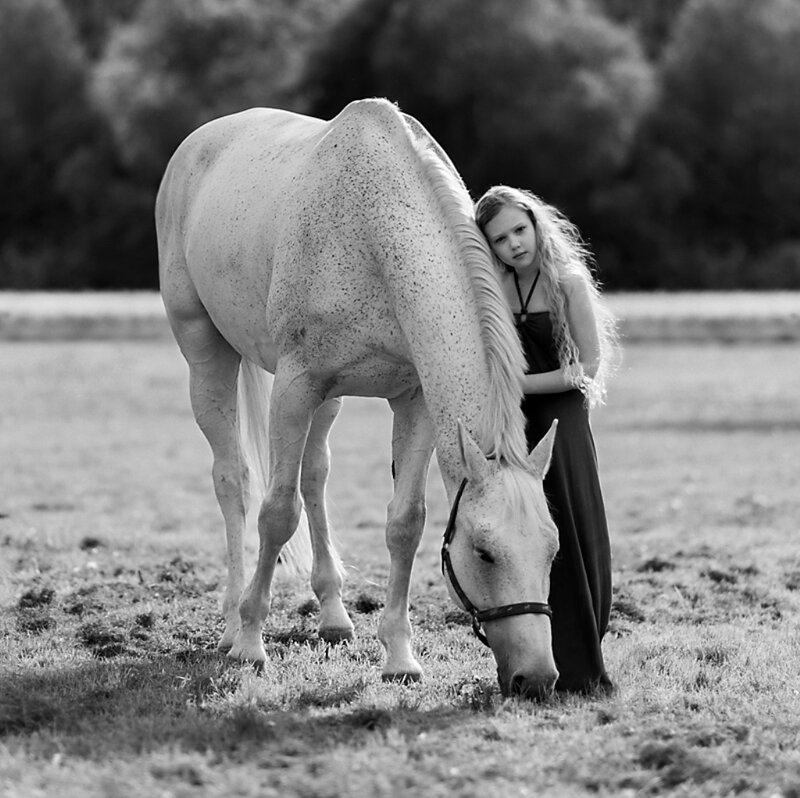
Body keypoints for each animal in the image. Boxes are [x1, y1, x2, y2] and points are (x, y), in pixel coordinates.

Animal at [156, 98, 560, 699]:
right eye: (484, 552)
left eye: (554, 549)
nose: (537, 679)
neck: (372, 234)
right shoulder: (295, 386)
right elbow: (277, 514)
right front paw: (252, 645)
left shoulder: (413, 402)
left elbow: (405, 523)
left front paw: (399, 657)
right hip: (208, 354)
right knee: (235, 481)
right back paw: (231, 626)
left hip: (328, 400)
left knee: (314, 476)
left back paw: (334, 617)